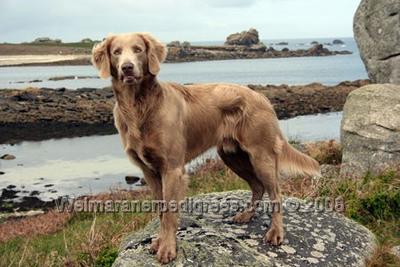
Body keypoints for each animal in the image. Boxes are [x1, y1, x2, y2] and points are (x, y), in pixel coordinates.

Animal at [92, 32, 320, 264]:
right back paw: (246, 215)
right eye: (116, 52)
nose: (127, 68)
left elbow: (170, 212)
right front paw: (158, 242)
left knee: (276, 193)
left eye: (138, 49)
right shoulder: (150, 172)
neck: (140, 108)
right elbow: (161, 211)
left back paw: (276, 233)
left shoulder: (172, 169)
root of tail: (262, 97)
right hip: (232, 155)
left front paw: (167, 249)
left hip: (260, 155)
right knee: (258, 186)